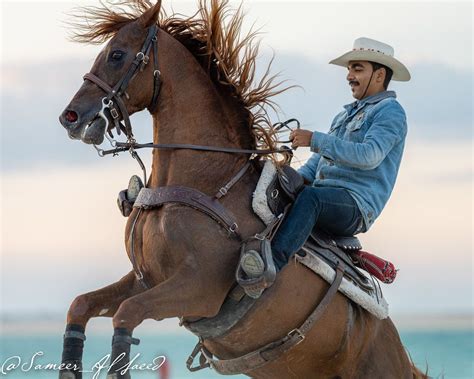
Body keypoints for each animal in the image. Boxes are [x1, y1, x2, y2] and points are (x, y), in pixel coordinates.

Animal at [58, 1, 426, 378]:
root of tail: (397, 348)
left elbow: (126, 314)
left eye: (117, 54)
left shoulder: (197, 290)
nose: (70, 117)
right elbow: (80, 306)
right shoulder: (145, 279)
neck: (207, 180)